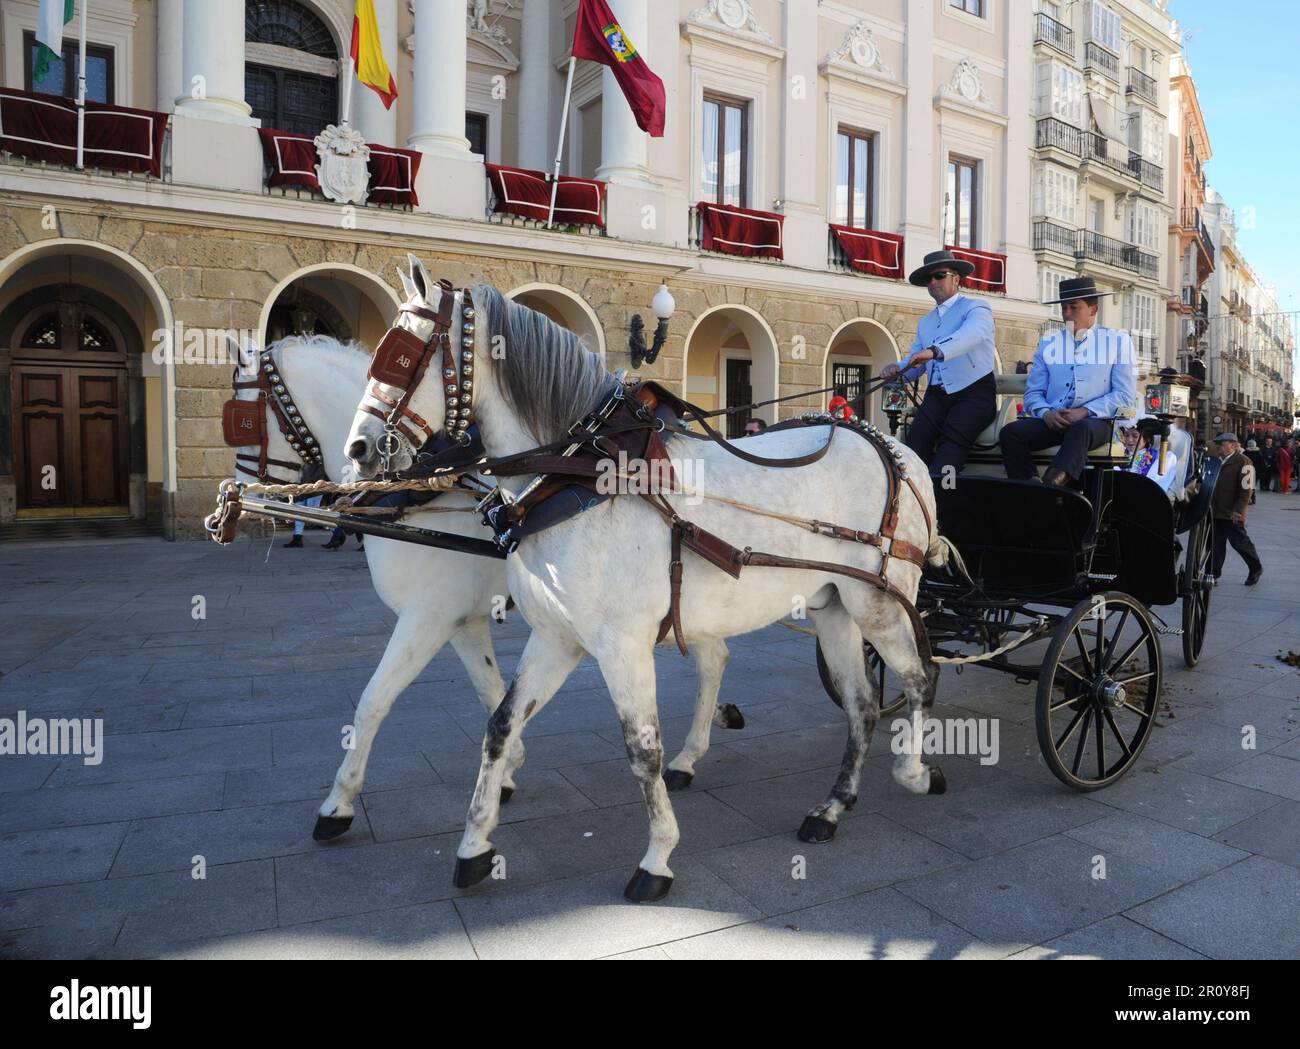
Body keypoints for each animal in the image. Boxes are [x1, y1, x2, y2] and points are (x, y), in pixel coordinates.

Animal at [231, 323, 743, 842]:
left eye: (243, 421)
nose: (237, 489)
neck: (419, 490)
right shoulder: (459, 621)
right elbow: (490, 690)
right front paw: (508, 770)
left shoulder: (427, 617)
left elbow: (374, 699)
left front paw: (338, 803)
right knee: (715, 657)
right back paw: (698, 743)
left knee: (712, 659)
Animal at [345, 259, 951, 904]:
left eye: (401, 356)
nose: (358, 449)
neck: (576, 474)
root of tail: (892, 446)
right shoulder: (556, 637)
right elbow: (501, 725)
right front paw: (476, 844)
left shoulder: (622, 645)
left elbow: (643, 748)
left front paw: (657, 855)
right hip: (832, 604)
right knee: (861, 703)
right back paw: (833, 807)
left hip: (879, 601)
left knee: (917, 678)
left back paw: (915, 770)